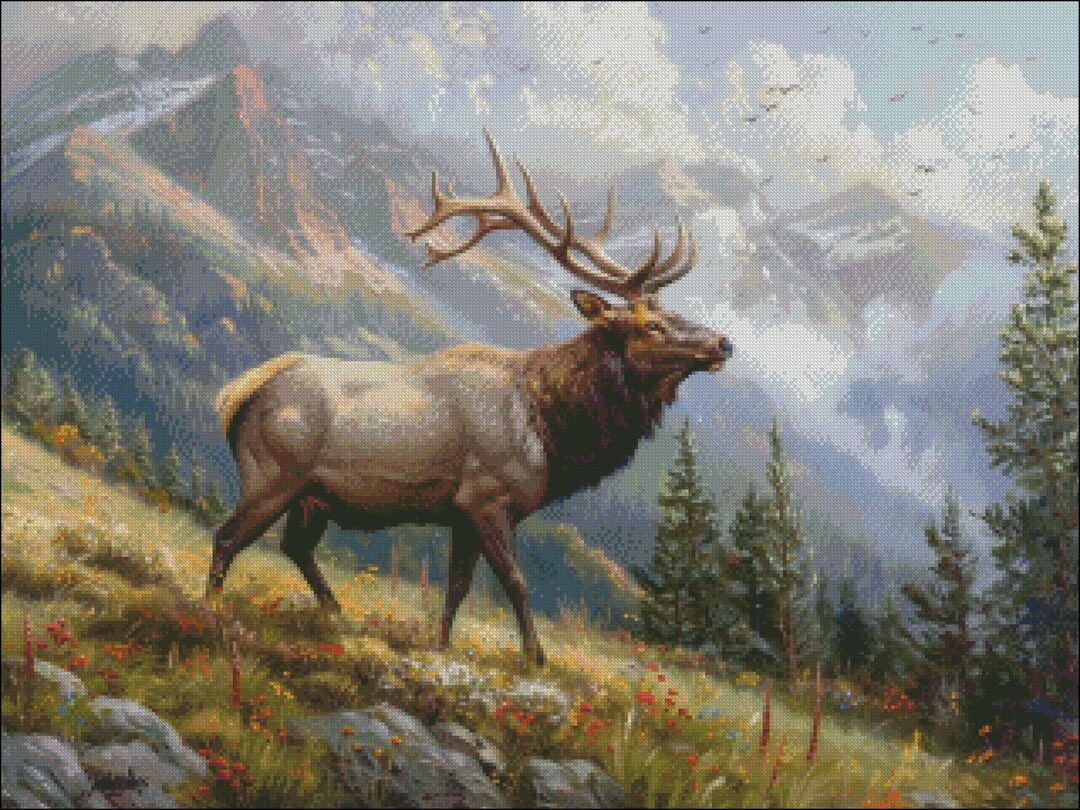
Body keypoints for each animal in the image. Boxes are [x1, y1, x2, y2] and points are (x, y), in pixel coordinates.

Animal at [207, 129, 733, 664]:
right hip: (272, 474)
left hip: (312, 496)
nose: (722, 344)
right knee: (227, 537)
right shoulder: (488, 496)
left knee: (295, 546)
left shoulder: (461, 511)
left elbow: (456, 588)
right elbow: (516, 582)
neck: (550, 431)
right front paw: (536, 658)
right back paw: (211, 609)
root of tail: (238, 393)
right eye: (652, 325)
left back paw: (336, 613)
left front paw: (439, 647)